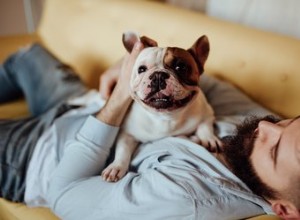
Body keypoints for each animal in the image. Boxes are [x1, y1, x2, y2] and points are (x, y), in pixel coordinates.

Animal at [102, 31, 221, 182]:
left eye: (180, 67)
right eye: (141, 69)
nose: (158, 75)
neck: (165, 117)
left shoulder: (206, 112)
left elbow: (205, 125)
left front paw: (209, 139)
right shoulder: (127, 133)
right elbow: (123, 149)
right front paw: (116, 167)